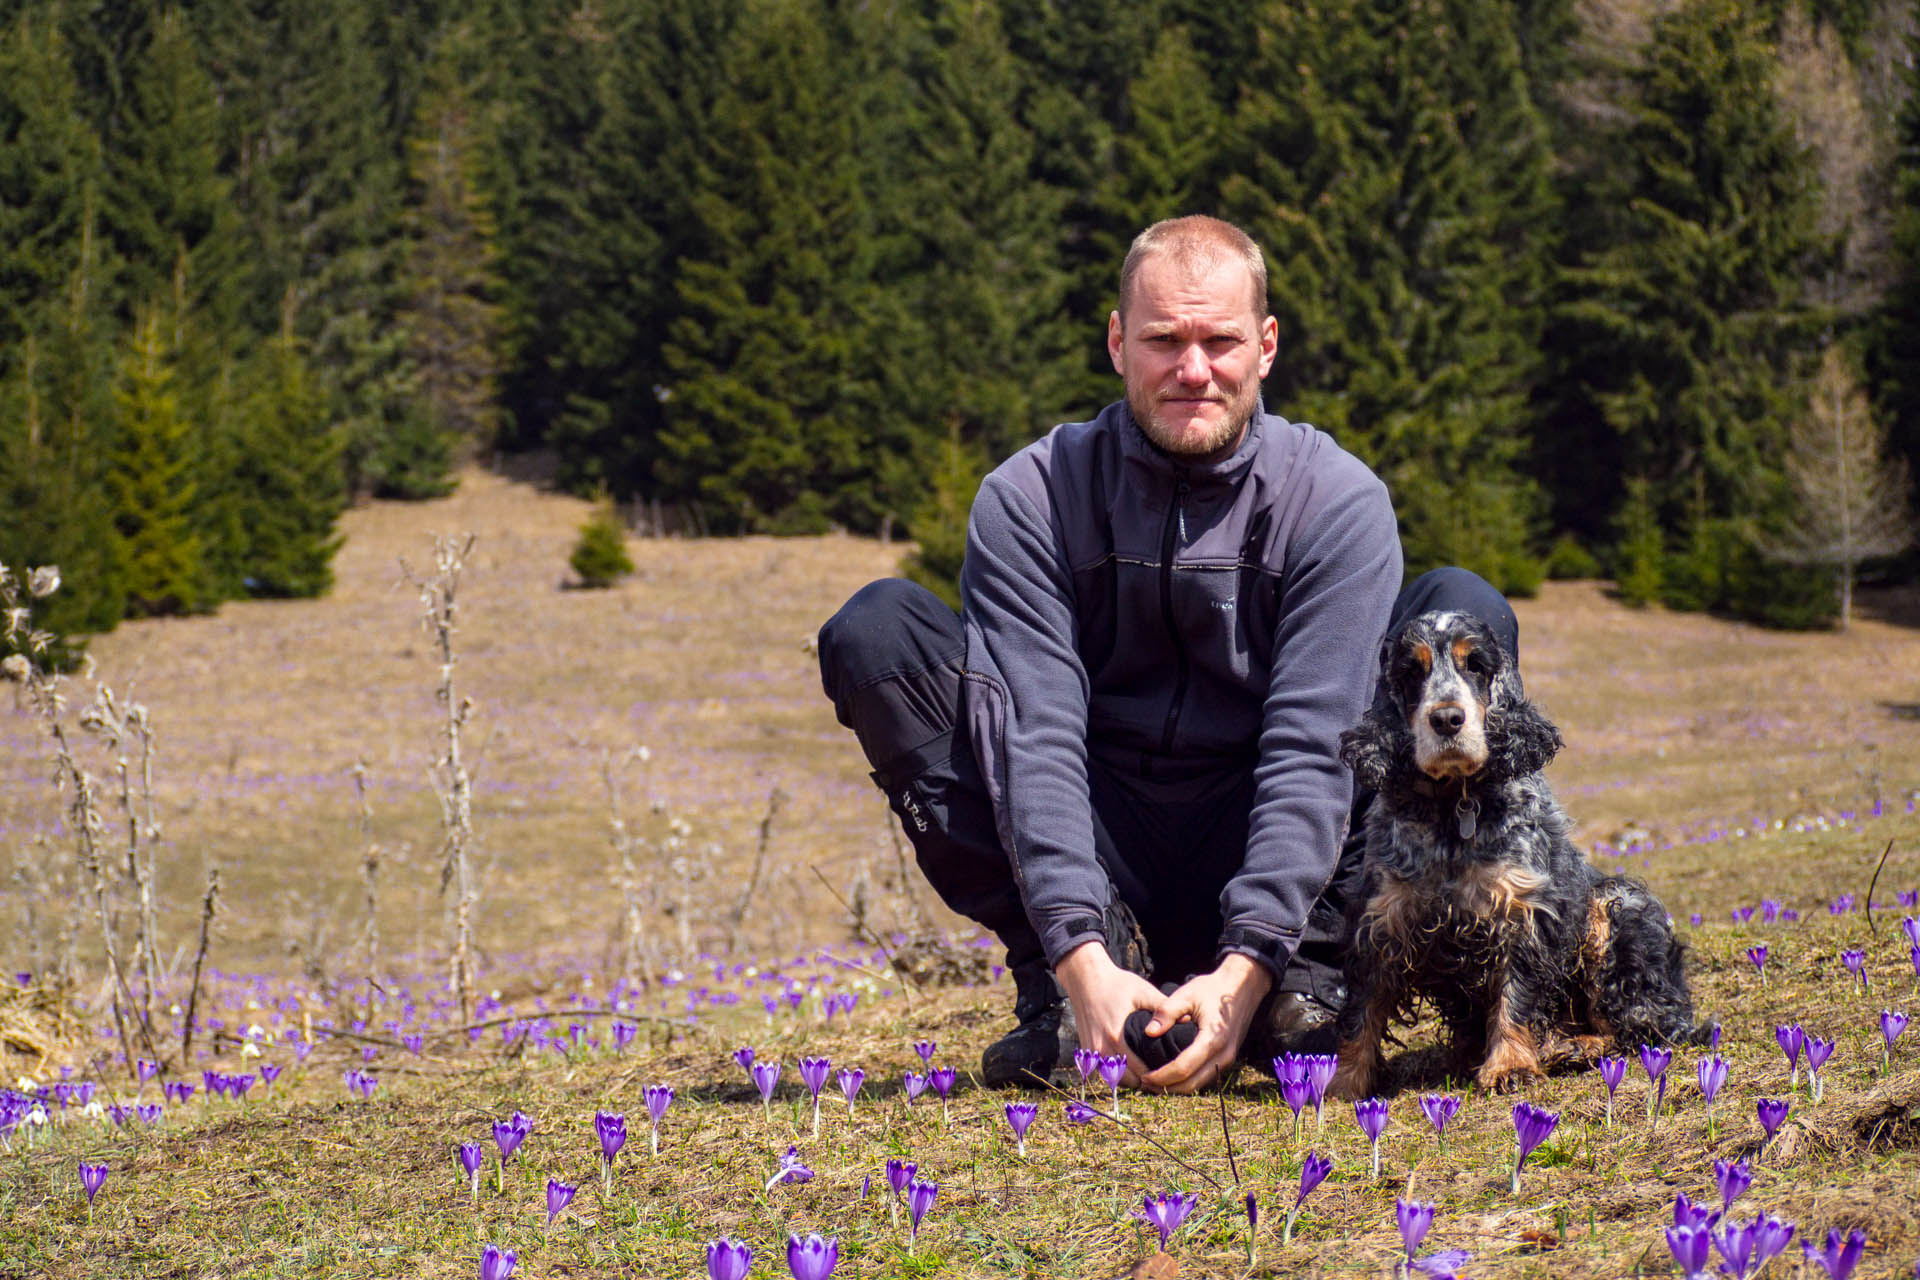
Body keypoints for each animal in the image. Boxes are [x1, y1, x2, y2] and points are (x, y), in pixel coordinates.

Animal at [1336, 610, 1697, 1105]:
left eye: (1476, 665)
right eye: (1412, 672)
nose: (1447, 719)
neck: (1453, 807)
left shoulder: (1521, 912)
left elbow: (1517, 994)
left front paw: (1510, 1065)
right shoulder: (1381, 918)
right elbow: (1363, 1009)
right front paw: (1341, 1079)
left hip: (1616, 909)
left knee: (1639, 1027)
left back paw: (1574, 1046)